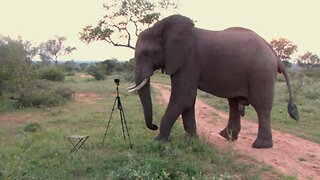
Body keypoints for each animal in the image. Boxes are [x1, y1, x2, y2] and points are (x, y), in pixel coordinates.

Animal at [127, 14, 298, 148]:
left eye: (147, 53)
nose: (153, 126)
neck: (163, 27)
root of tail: (274, 53)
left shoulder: (188, 59)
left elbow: (183, 96)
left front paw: (158, 142)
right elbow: (188, 100)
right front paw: (191, 140)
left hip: (261, 73)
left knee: (261, 106)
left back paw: (260, 145)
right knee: (234, 103)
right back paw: (227, 137)